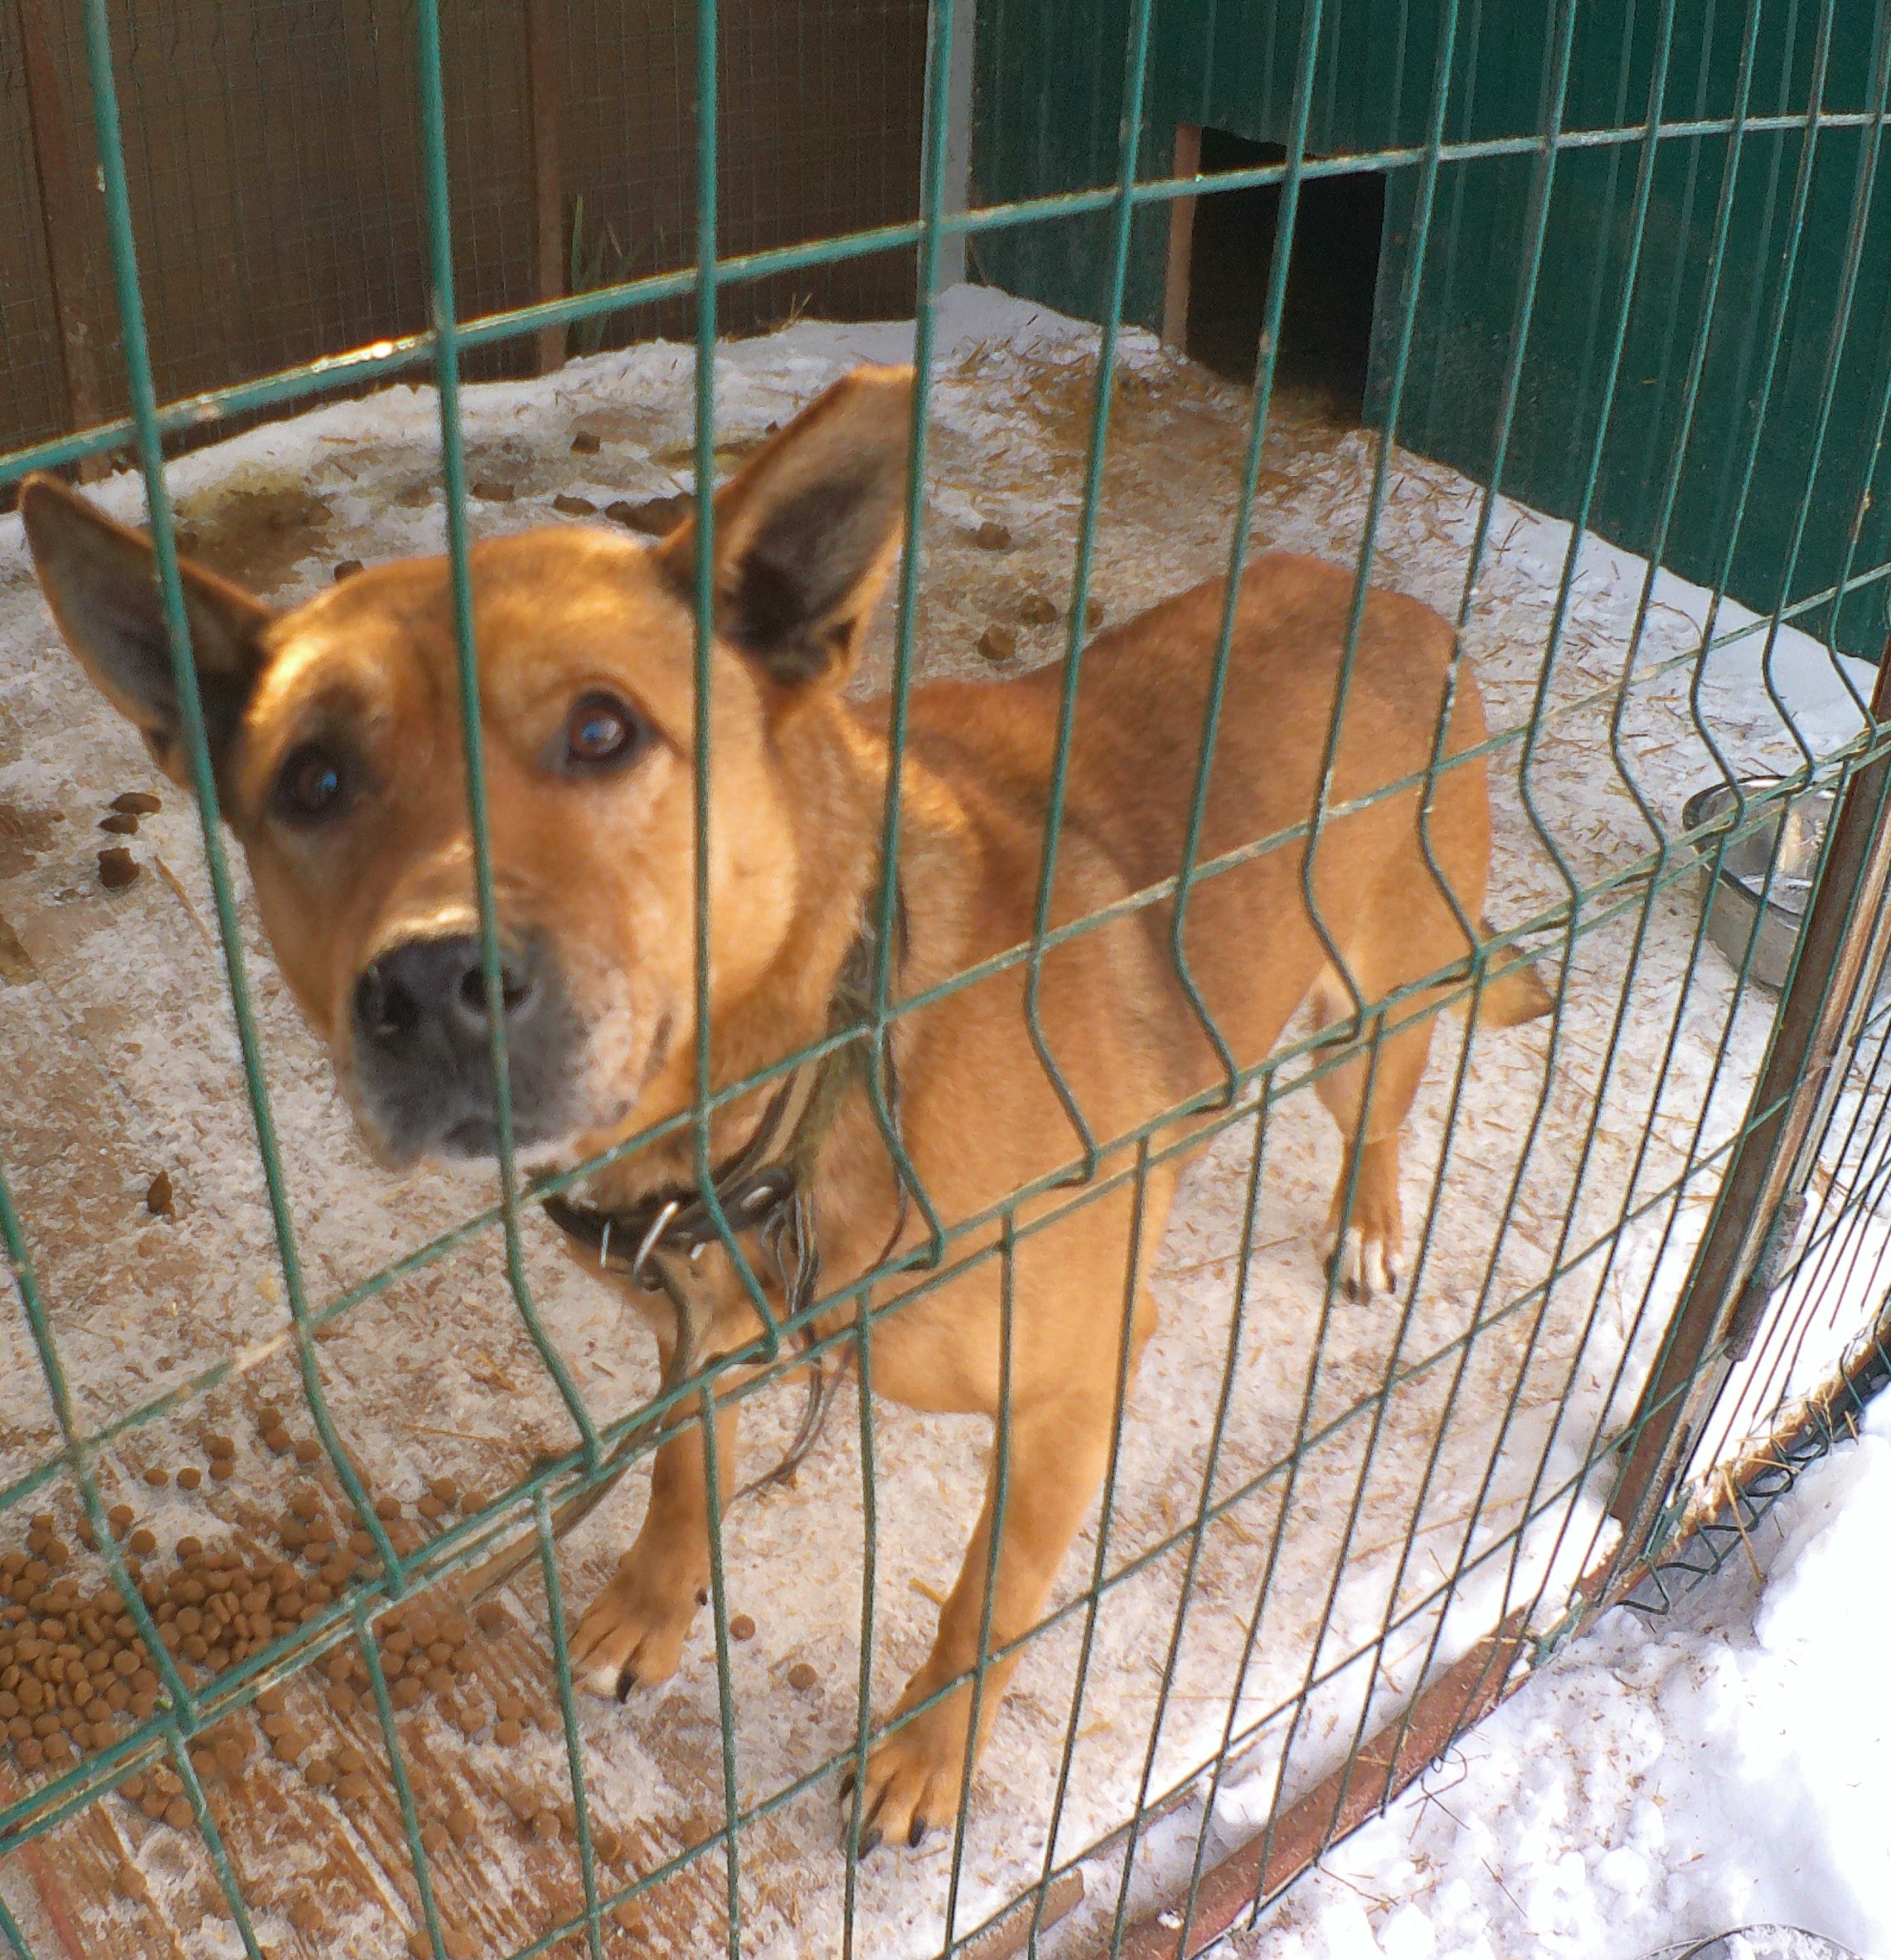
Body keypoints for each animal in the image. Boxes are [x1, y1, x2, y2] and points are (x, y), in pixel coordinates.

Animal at [20, 363, 1549, 1853]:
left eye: (601, 729)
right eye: (314, 780)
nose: (429, 985)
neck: (804, 1083)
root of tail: (1402, 604)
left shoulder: (1072, 1389)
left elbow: (985, 1596)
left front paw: (928, 1755)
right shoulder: (691, 1337)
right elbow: (684, 1471)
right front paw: (655, 1605)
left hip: (1370, 1012)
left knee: (1376, 1111)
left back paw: (1369, 1223)